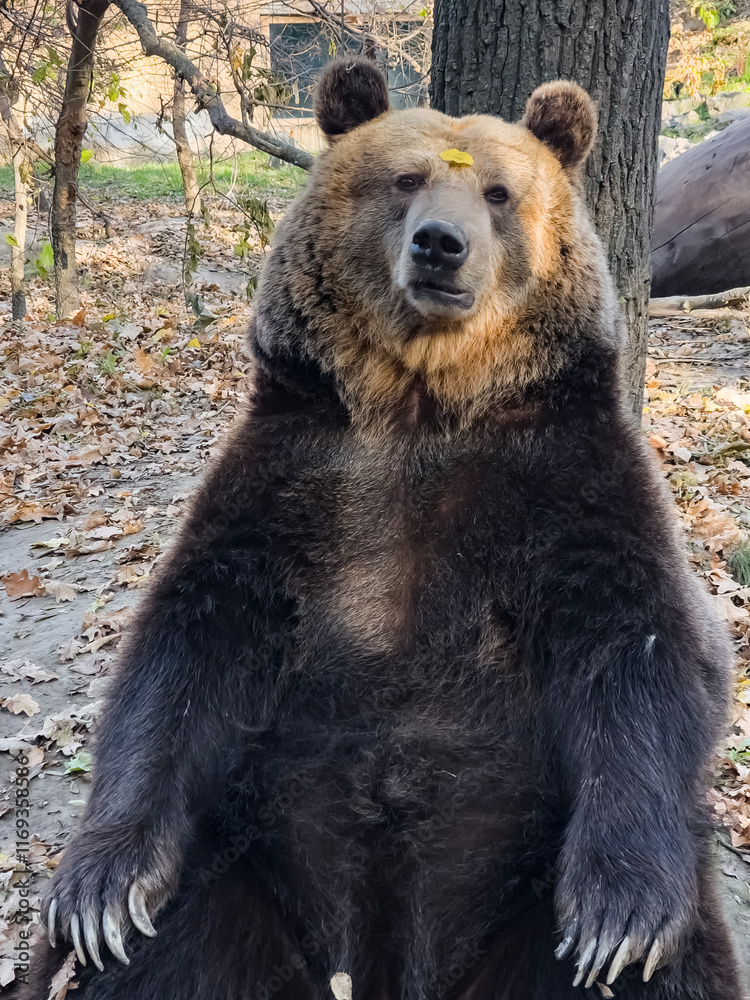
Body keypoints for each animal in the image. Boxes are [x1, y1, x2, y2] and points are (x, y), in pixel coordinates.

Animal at [23, 58, 741, 1000]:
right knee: (155, 952)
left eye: (501, 193)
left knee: (661, 966)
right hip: (243, 861)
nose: (441, 244)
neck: (422, 407)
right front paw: (100, 890)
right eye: (404, 180)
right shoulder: (297, 474)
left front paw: (616, 917)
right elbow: (189, 641)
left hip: (520, 890)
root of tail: (379, 969)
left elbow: (638, 645)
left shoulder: (562, 477)